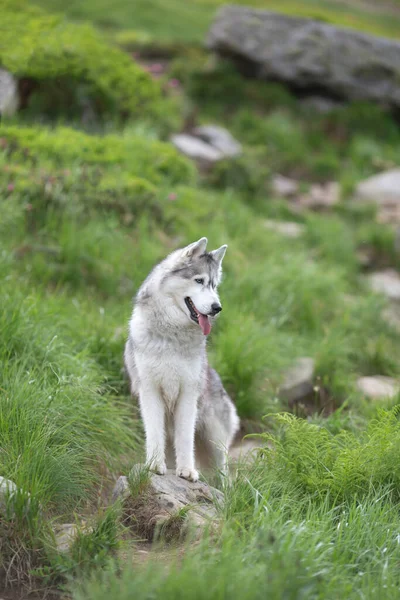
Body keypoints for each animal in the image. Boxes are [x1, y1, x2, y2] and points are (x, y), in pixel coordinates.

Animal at [123, 237, 239, 480]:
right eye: (199, 280)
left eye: (214, 285)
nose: (217, 307)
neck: (171, 335)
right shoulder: (150, 391)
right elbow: (154, 434)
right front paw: (154, 466)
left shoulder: (187, 393)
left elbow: (185, 438)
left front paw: (186, 471)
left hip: (215, 441)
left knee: (225, 474)